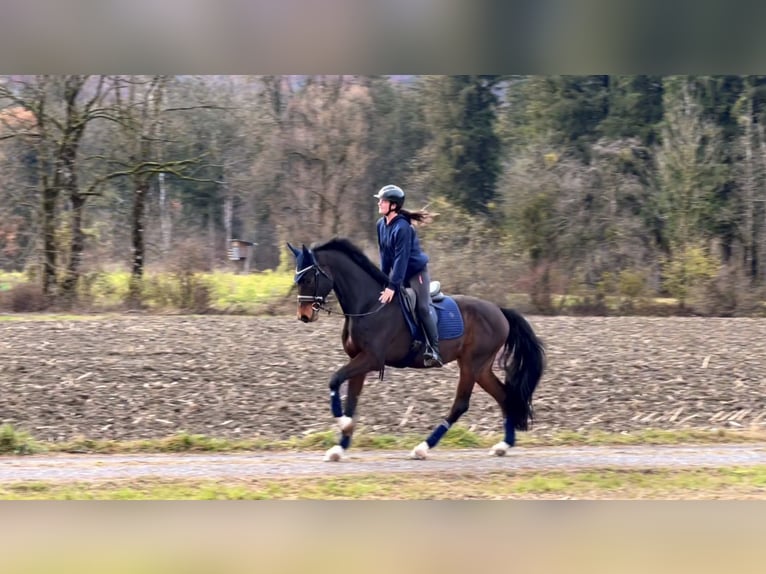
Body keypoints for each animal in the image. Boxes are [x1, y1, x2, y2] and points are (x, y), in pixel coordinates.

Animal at [288, 238, 544, 464]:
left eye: (308, 278)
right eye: (297, 277)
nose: (304, 316)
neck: (369, 305)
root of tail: (499, 311)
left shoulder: (371, 359)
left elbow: (334, 380)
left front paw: (343, 424)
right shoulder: (357, 361)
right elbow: (351, 400)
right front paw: (339, 448)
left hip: (471, 364)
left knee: (461, 404)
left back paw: (422, 448)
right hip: (481, 368)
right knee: (503, 395)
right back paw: (503, 445)